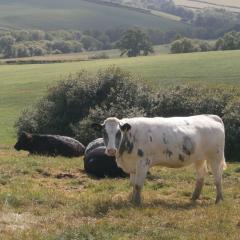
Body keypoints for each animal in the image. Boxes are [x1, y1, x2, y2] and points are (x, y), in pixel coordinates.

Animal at [91, 115, 225, 205]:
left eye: (119, 133)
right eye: (104, 132)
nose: (111, 150)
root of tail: (211, 117)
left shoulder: (143, 163)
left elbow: (138, 185)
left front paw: (137, 203)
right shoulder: (133, 166)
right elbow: (133, 184)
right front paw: (131, 200)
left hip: (215, 157)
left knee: (218, 177)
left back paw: (218, 200)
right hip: (199, 158)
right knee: (201, 176)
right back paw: (194, 197)